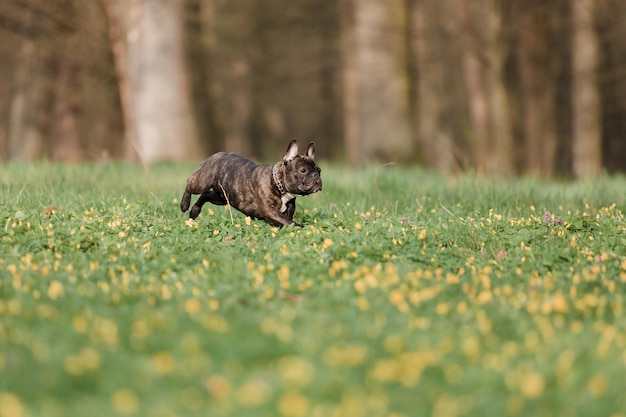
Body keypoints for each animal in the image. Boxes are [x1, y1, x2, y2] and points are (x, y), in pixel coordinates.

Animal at [178, 140, 320, 226]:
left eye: (319, 171)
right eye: (303, 170)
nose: (316, 177)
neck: (279, 185)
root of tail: (216, 154)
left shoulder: (287, 211)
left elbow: (286, 221)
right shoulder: (270, 210)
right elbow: (288, 222)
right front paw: (301, 227)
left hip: (222, 198)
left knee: (206, 195)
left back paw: (194, 211)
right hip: (201, 182)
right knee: (189, 184)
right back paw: (184, 204)